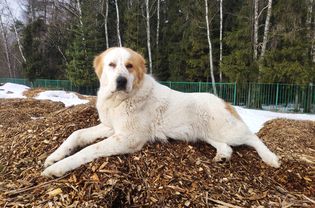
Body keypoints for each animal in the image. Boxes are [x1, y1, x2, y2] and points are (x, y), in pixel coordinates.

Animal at [41, 47, 278, 177]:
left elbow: (89, 150)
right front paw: (54, 157)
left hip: (228, 130)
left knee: (252, 137)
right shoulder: (111, 128)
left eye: (129, 66)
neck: (120, 100)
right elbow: (76, 134)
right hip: (207, 134)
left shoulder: (128, 138)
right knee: (227, 147)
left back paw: (270, 158)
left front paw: (59, 167)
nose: (121, 81)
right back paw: (222, 156)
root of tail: (223, 100)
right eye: (111, 65)